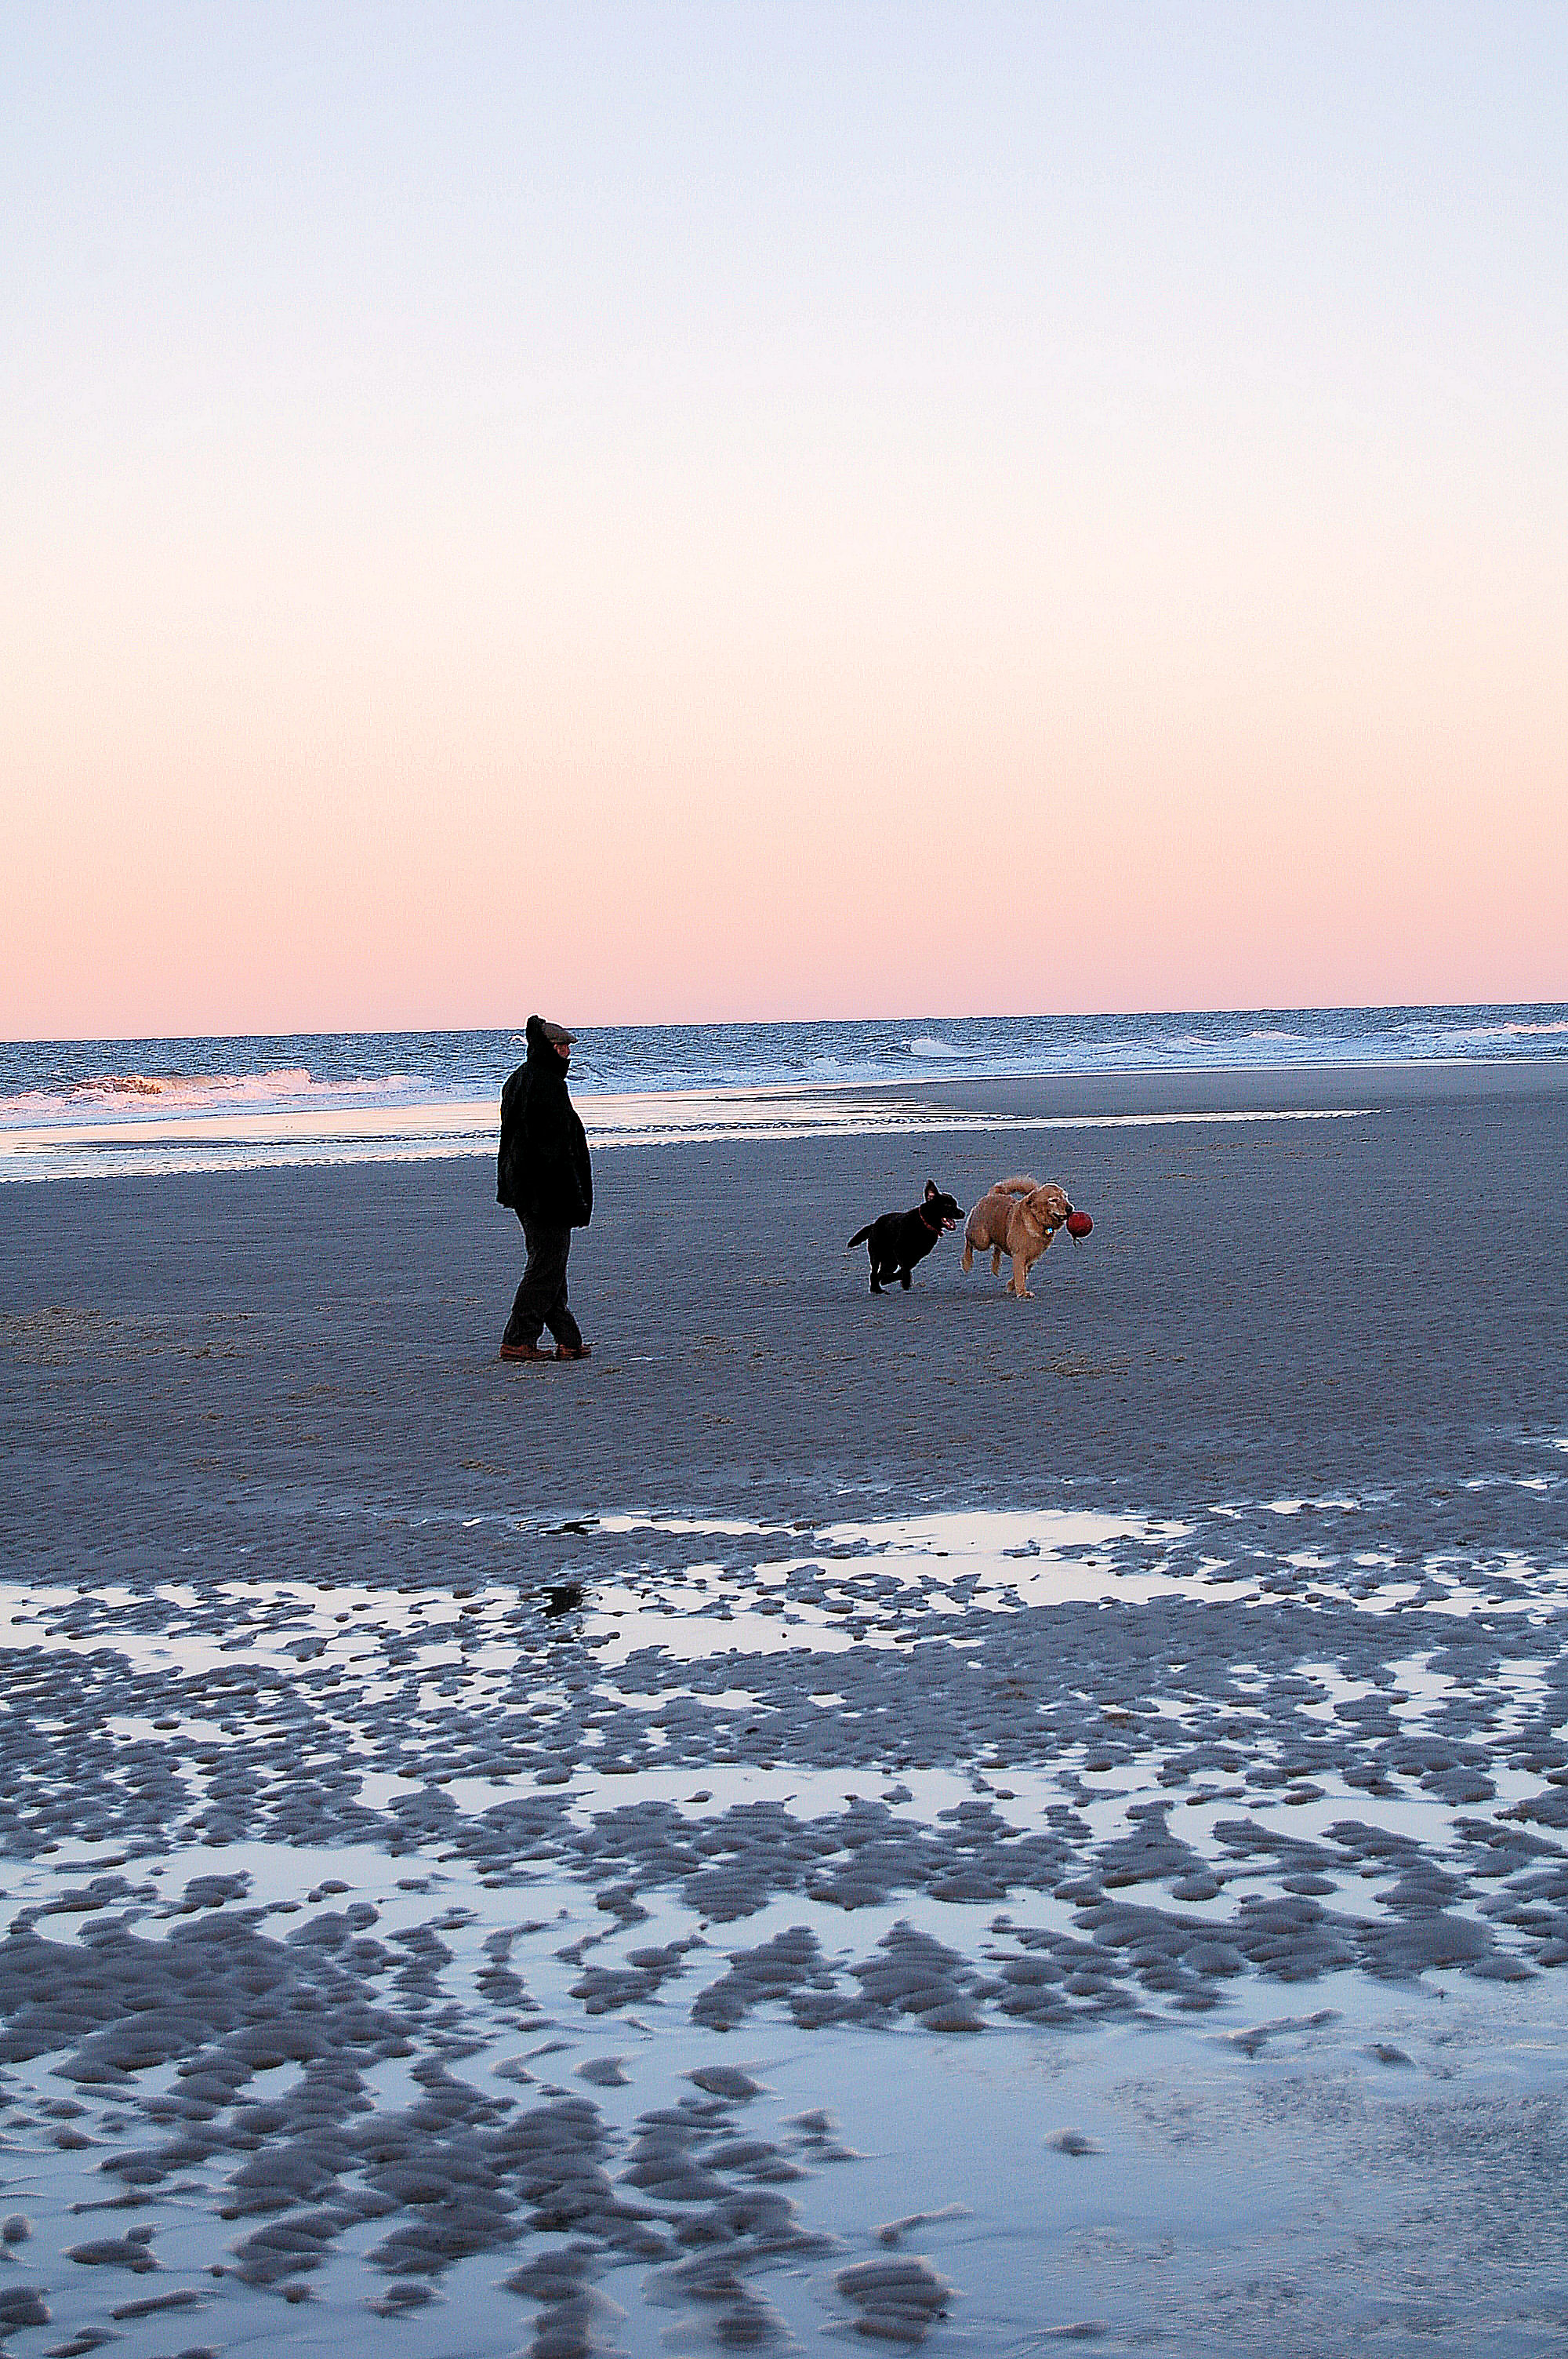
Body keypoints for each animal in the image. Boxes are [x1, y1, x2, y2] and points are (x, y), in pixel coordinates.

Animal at [848, 1180, 962, 1292]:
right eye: (947, 1205)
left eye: (955, 1204)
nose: (963, 1213)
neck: (924, 1224)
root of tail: (873, 1225)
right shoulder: (900, 1251)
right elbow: (905, 1270)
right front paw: (901, 1281)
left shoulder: (917, 1256)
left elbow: (905, 1269)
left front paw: (890, 1280)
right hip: (877, 1255)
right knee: (874, 1273)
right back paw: (876, 1289)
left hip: (890, 1261)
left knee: (881, 1273)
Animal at [962, 1174, 1070, 1302]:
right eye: (1053, 1200)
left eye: (1065, 1197)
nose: (1070, 1208)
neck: (1037, 1220)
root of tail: (991, 1194)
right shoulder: (1019, 1255)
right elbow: (1020, 1274)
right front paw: (1022, 1293)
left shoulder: (1032, 1257)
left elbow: (1024, 1272)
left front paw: (1011, 1285)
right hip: (982, 1239)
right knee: (968, 1238)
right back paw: (966, 1263)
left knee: (997, 1247)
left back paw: (995, 1266)